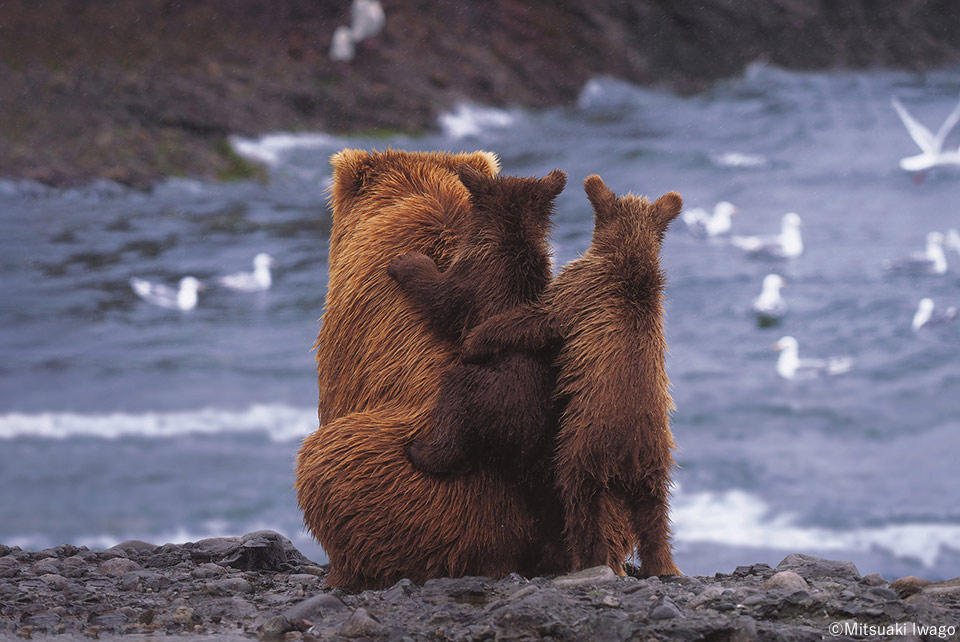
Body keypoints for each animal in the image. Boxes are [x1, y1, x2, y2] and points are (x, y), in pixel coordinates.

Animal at [464, 174, 684, 576]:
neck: (630, 261)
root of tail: (628, 456)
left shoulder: (578, 290)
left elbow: (537, 318)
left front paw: (477, 339)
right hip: (655, 465)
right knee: (655, 518)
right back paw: (664, 565)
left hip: (582, 449)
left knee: (581, 504)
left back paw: (586, 559)